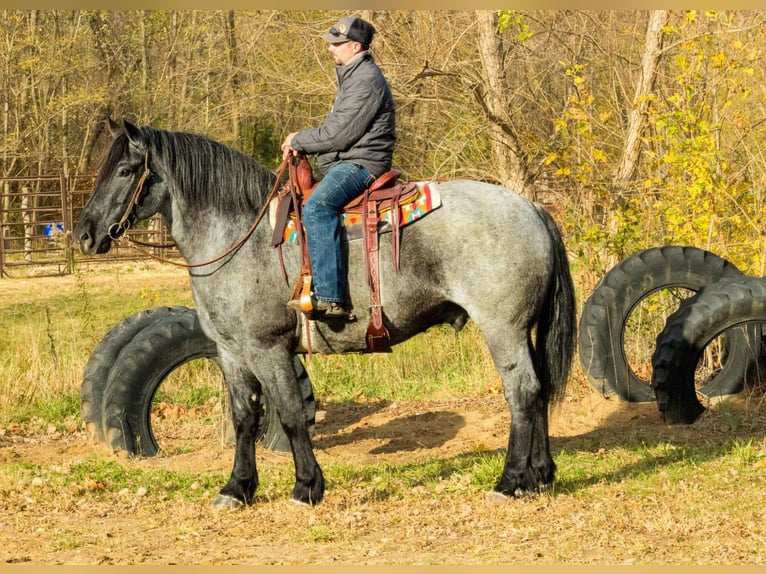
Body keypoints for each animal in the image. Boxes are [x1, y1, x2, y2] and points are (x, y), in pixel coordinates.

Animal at [74, 118, 577, 509]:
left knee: (522, 393)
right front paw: (237, 488)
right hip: (521, 331)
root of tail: (531, 207)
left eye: (125, 170)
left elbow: (290, 414)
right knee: (538, 390)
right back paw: (539, 474)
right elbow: (243, 419)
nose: (84, 233)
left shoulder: (269, 349)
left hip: (502, 329)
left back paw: (510, 481)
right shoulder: (231, 352)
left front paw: (306, 487)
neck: (239, 238)